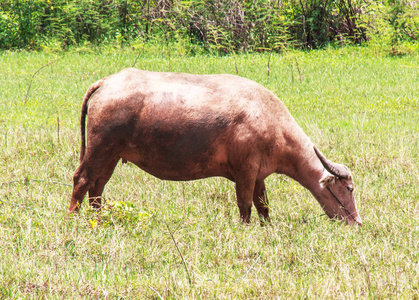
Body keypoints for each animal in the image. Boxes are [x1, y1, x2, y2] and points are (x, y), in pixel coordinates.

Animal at [68, 68, 360, 225]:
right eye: (348, 189)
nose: (356, 222)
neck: (269, 119)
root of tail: (106, 82)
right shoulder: (245, 173)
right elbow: (245, 205)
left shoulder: (258, 175)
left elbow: (263, 205)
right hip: (99, 150)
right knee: (82, 179)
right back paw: (73, 219)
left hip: (111, 156)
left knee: (97, 186)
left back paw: (100, 220)